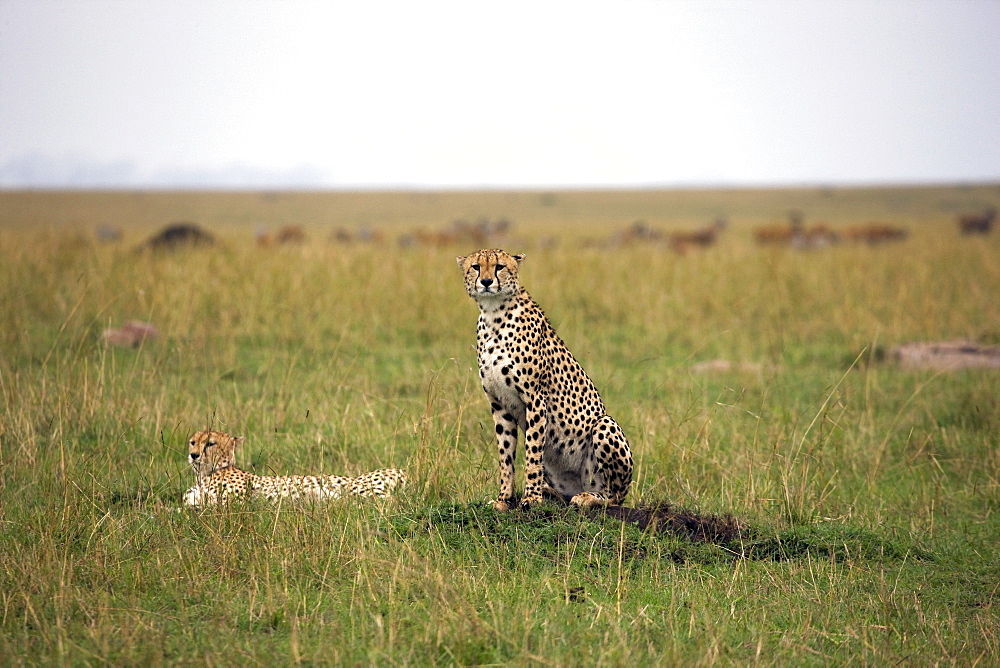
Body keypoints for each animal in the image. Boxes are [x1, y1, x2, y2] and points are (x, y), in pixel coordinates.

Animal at [184, 434, 406, 506]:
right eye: (193, 442)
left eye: (210, 443)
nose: (194, 455)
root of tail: (402, 473)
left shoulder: (235, 504)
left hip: (360, 490)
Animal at [458, 249, 632, 512]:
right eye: (476, 267)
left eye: (499, 267)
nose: (487, 282)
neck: (493, 313)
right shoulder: (499, 404)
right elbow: (505, 456)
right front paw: (504, 499)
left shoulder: (535, 399)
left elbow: (532, 453)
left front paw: (531, 498)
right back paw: (552, 493)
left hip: (604, 424)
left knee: (613, 494)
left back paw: (588, 497)